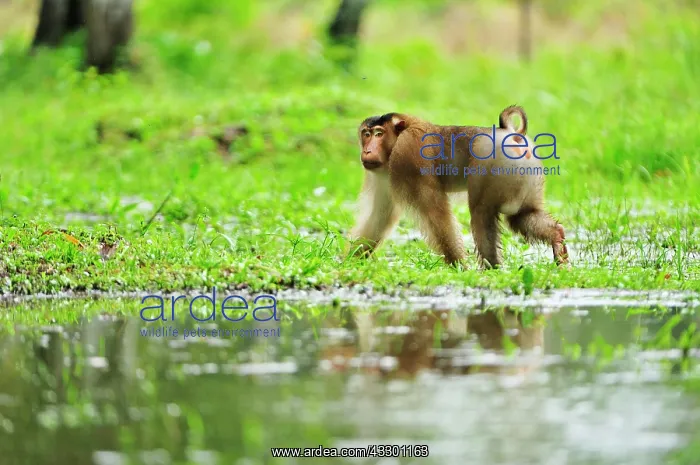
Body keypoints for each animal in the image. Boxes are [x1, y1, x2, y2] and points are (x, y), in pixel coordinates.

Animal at [348, 105, 568, 268]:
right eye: (366, 134)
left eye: (378, 134)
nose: (367, 150)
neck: (398, 138)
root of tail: (511, 134)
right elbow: (380, 216)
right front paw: (349, 260)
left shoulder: (408, 152)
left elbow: (435, 212)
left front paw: (459, 265)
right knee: (521, 215)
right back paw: (557, 238)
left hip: (493, 166)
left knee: (481, 214)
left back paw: (492, 268)